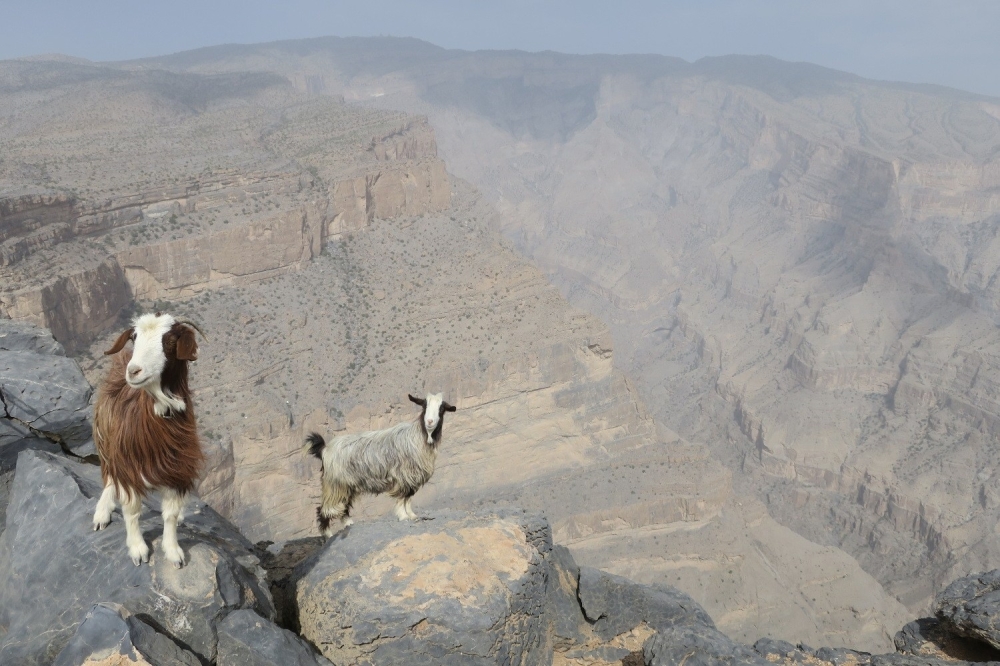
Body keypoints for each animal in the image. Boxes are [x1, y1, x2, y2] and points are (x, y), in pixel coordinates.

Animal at [91, 312, 206, 567]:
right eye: (134, 337)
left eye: (170, 340)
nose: (134, 371)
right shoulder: (129, 467)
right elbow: (131, 510)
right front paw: (138, 549)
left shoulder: (178, 469)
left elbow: (170, 514)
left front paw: (173, 552)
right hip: (105, 437)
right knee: (109, 476)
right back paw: (102, 512)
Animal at [306, 393, 456, 537]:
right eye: (424, 406)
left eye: (442, 409)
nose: (430, 421)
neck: (417, 438)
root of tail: (324, 450)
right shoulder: (401, 476)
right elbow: (402, 497)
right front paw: (403, 516)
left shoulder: (411, 479)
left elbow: (408, 498)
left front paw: (412, 515)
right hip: (334, 484)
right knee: (324, 509)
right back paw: (328, 535)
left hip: (346, 485)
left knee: (343, 506)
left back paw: (349, 524)